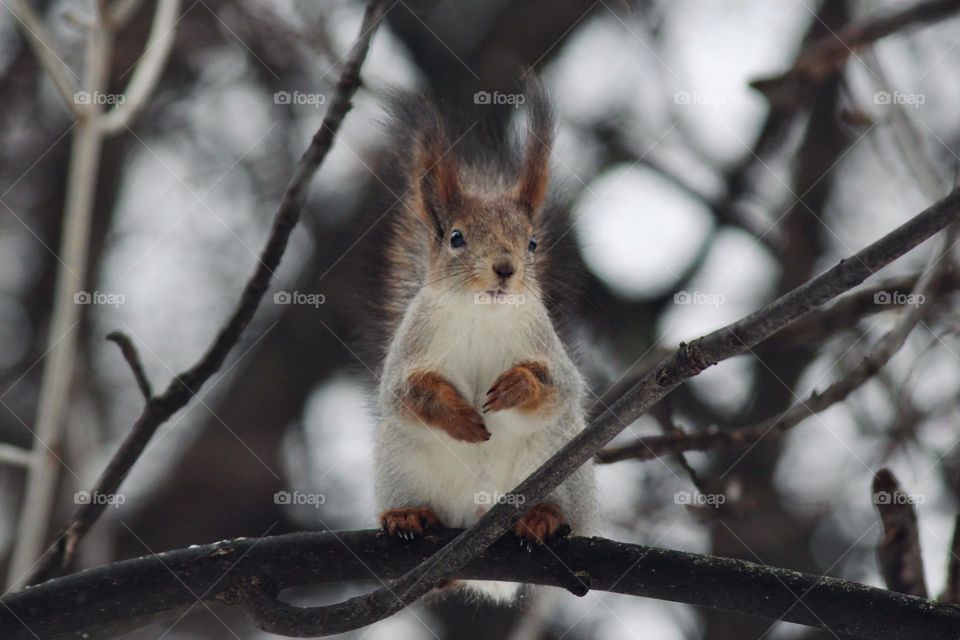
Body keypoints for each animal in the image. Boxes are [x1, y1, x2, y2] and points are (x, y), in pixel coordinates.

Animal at [370, 82, 600, 604]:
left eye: (532, 243)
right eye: (456, 238)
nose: (505, 268)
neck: (481, 314)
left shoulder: (545, 343)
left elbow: (560, 387)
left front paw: (517, 387)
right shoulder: (411, 347)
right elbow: (403, 393)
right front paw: (456, 414)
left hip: (561, 456)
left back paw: (543, 515)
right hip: (399, 461)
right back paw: (408, 515)